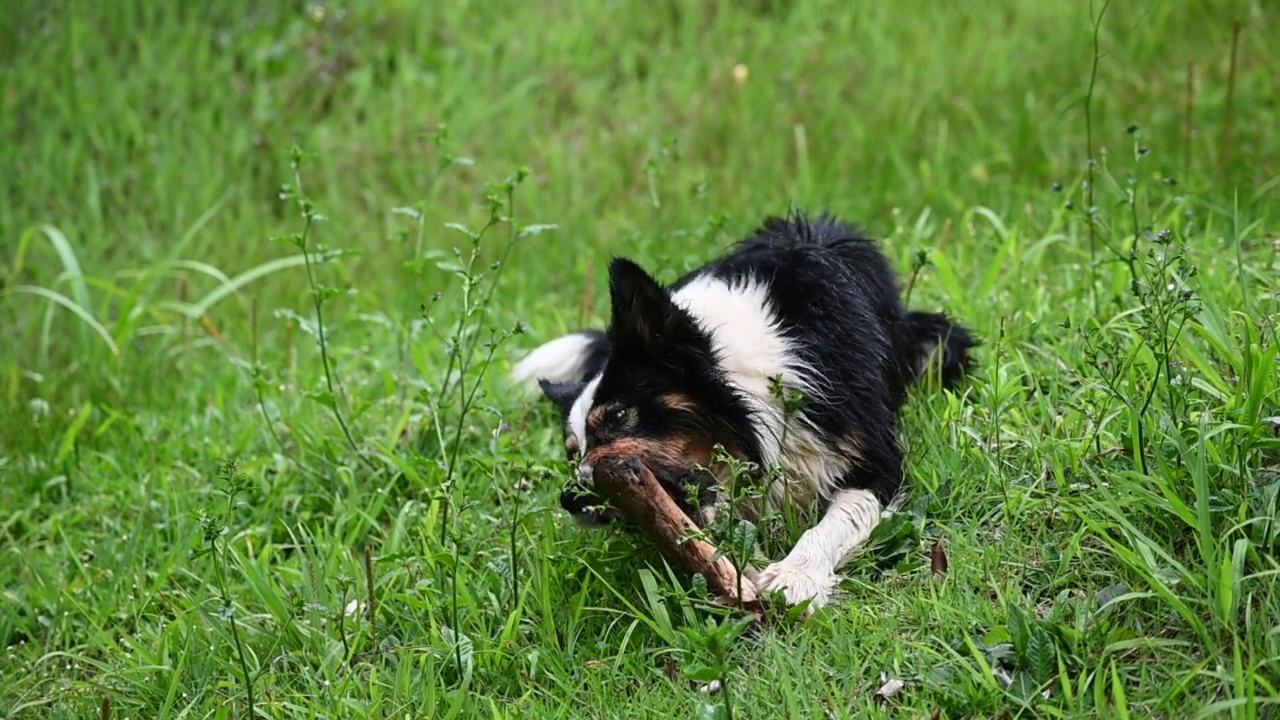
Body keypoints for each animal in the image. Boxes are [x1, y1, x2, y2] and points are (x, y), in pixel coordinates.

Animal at [504, 210, 972, 607]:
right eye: (572, 452)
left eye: (618, 417)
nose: (569, 500)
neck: (753, 375)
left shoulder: (875, 458)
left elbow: (838, 520)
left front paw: (795, 575)